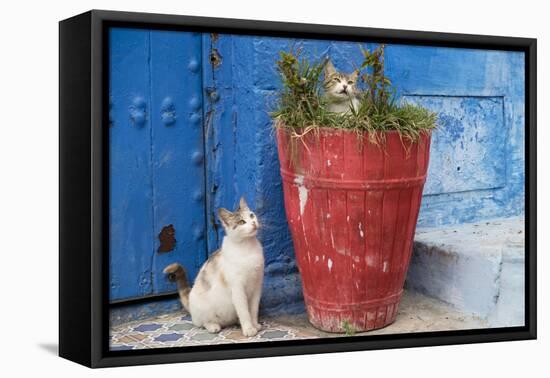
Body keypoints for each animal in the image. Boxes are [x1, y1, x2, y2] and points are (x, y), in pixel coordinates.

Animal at [164, 198, 266, 336]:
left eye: (251, 215)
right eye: (241, 222)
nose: (254, 223)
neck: (247, 246)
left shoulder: (257, 287)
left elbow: (253, 310)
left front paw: (254, 324)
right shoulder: (238, 289)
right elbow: (244, 311)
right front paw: (249, 329)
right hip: (203, 309)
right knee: (202, 322)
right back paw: (213, 326)